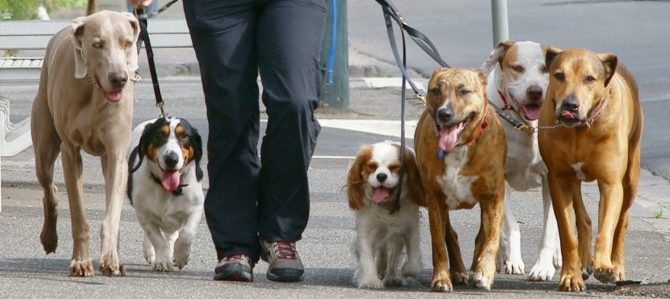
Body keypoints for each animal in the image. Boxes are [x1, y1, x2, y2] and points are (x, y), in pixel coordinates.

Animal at [127, 117, 203, 272]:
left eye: (184, 136)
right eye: (159, 135)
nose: (171, 159)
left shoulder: (197, 208)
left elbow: (187, 233)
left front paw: (181, 256)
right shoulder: (143, 213)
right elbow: (156, 239)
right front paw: (162, 260)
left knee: (172, 235)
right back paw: (151, 253)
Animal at [346, 142, 426, 290]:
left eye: (394, 167)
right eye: (372, 166)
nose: (381, 176)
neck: (386, 205)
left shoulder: (410, 228)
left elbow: (413, 257)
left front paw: (407, 269)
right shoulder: (365, 232)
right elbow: (367, 259)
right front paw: (371, 280)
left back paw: (391, 276)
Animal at [418, 67, 506, 292]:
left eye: (464, 91)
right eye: (436, 90)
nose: (444, 113)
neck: (459, 146)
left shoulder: (493, 197)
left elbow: (491, 238)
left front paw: (484, 272)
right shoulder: (435, 197)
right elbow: (438, 243)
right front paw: (441, 278)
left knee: (481, 236)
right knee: (449, 233)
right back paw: (457, 271)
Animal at [480, 40, 564, 282]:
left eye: (545, 69)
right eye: (517, 68)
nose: (535, 91)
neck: (527, 126)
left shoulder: (551, 178)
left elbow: (550, 229)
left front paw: (543, 267)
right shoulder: (500, 178)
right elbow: (511, 225)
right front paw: (513, 260)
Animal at [540, 48, 644, 292]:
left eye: (590, 78)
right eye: (559, 75)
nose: (570, 105)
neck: (580, 129)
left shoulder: (611, 183)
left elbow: (607, 227)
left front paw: (604, 266)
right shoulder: (558, 178)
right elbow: (567, 232)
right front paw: (571, 276)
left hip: (631, 176)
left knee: (621, 221)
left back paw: (616, 265)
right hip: (573, 178)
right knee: (583, 217)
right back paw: (585, 262)